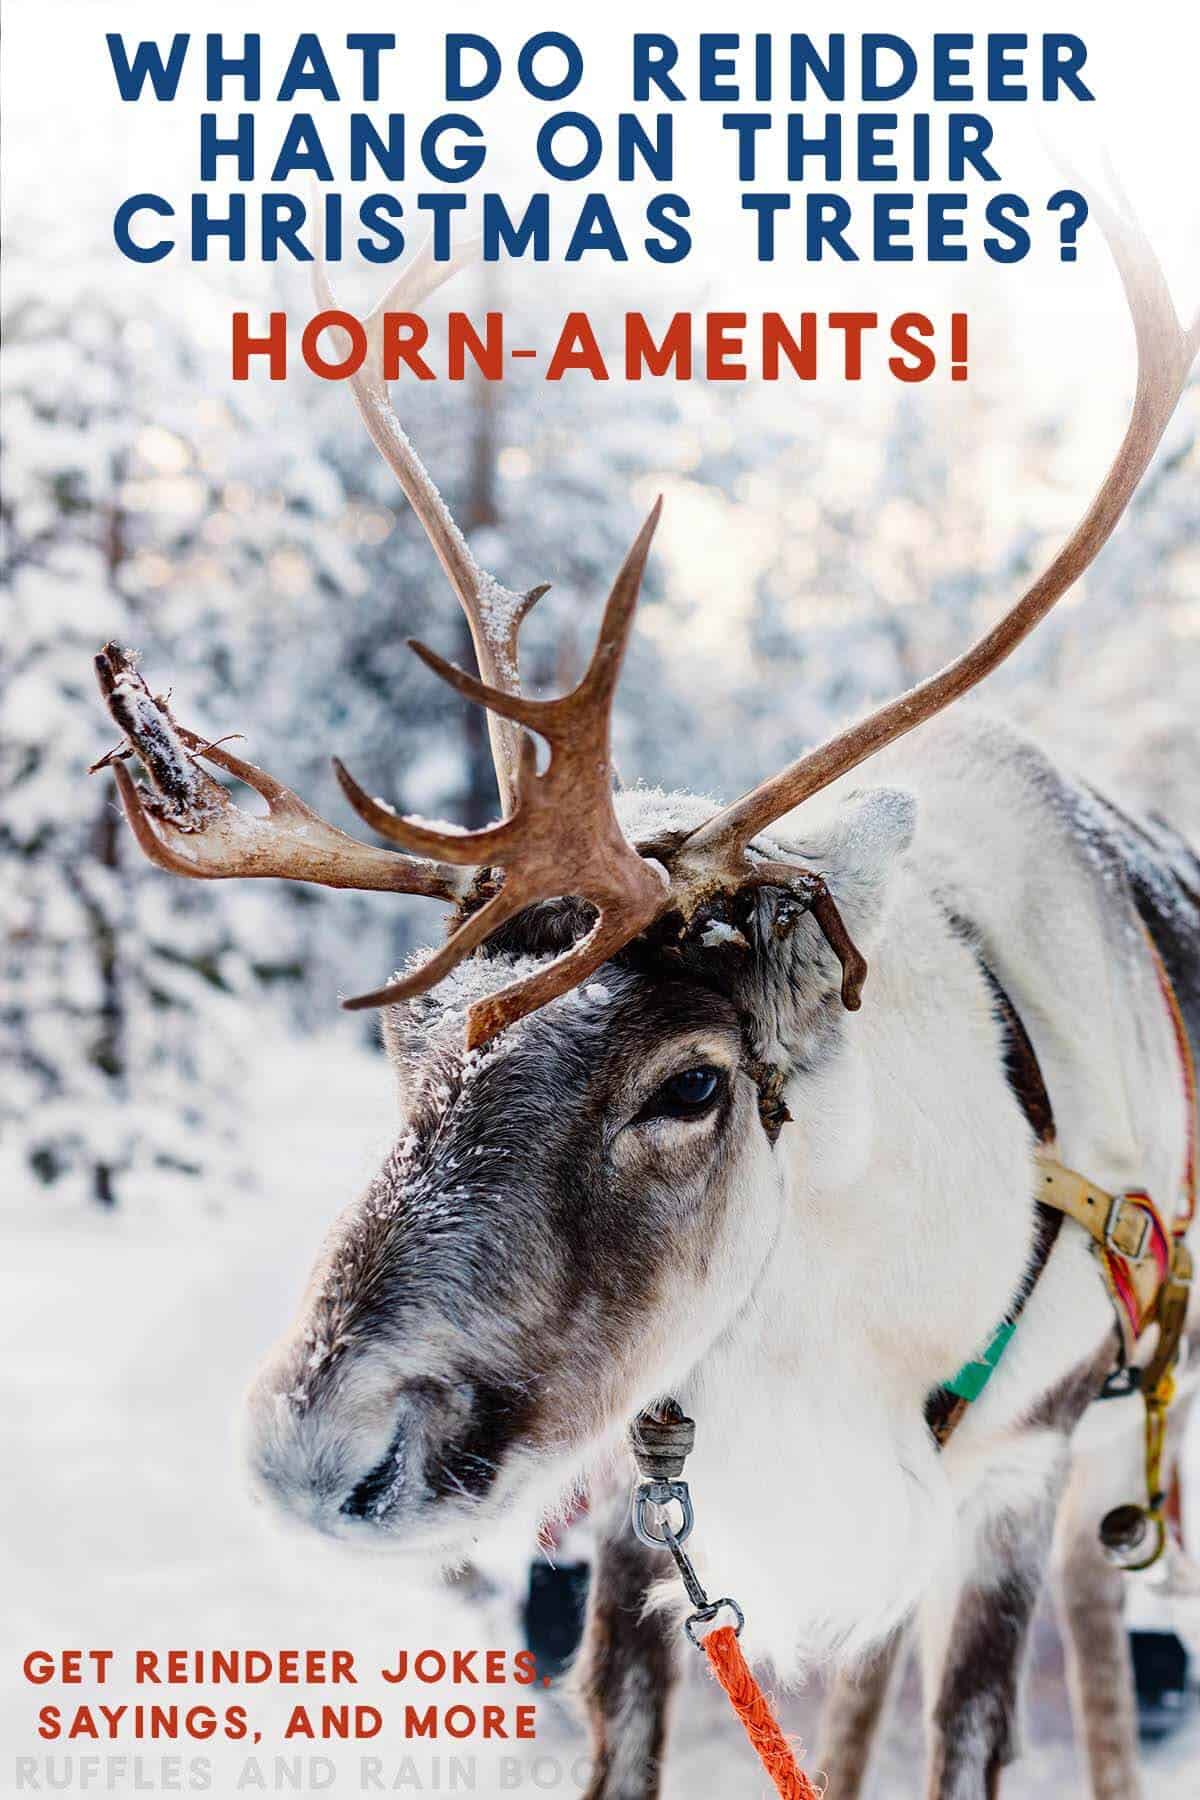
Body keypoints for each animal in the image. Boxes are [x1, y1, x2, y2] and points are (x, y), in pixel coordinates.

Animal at [91, 190, 1199, 1800]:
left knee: (1104, 1626)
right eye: (407, 1042)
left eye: (691, 1082)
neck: (835, 1313)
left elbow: (975, 1731)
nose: (313, 1463)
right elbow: (628, 1730)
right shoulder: (646, 1486)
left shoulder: (1014, 1466)